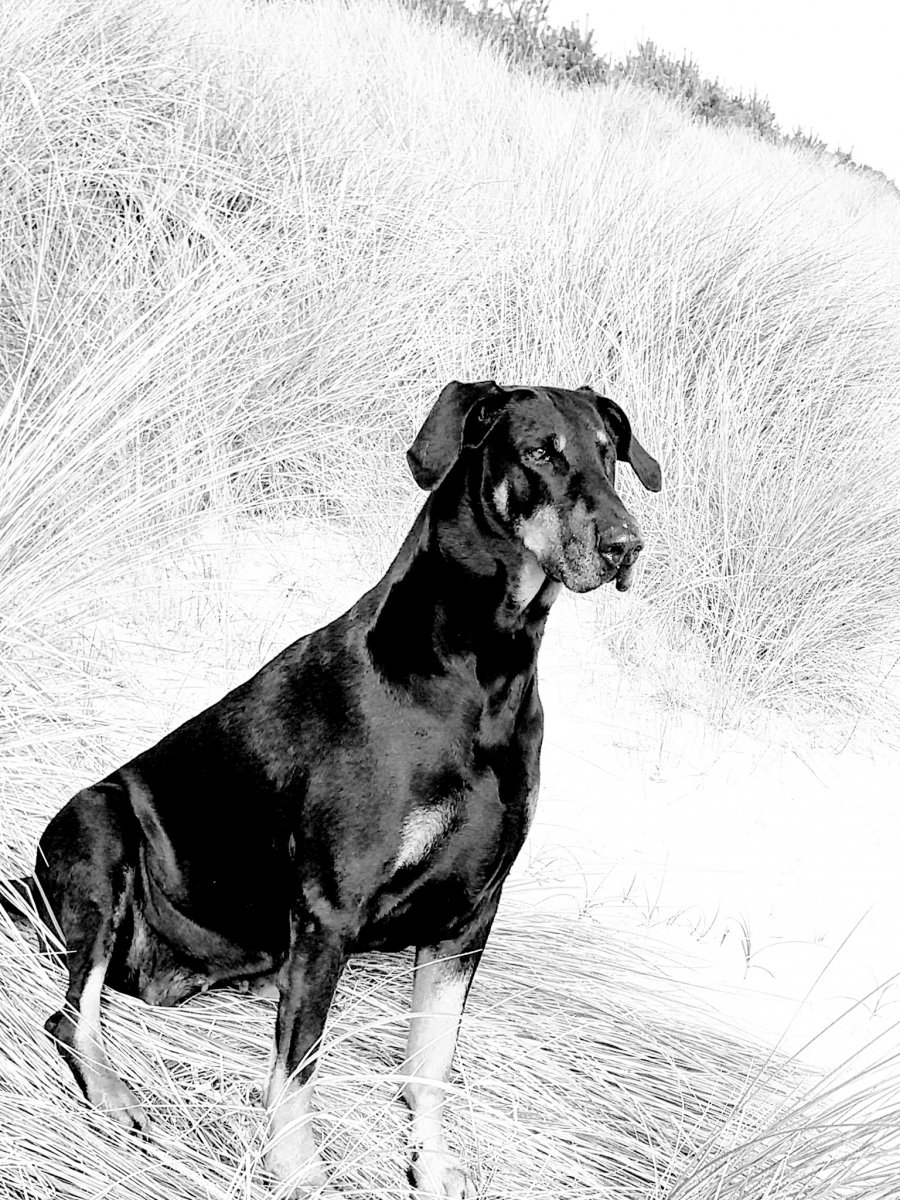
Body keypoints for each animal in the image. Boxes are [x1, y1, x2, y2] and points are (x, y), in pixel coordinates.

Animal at [3, 384, 657, 1200]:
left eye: (609, 452)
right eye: (540, 452)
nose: (627, 546)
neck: (485, 668)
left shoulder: (470, 914)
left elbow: (430, 1062)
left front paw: (430, 1164)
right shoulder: (331, 907)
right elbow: (297, 1069)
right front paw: (300, 1173)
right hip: (100, 825)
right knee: (72, 1014)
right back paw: (116, 1096)